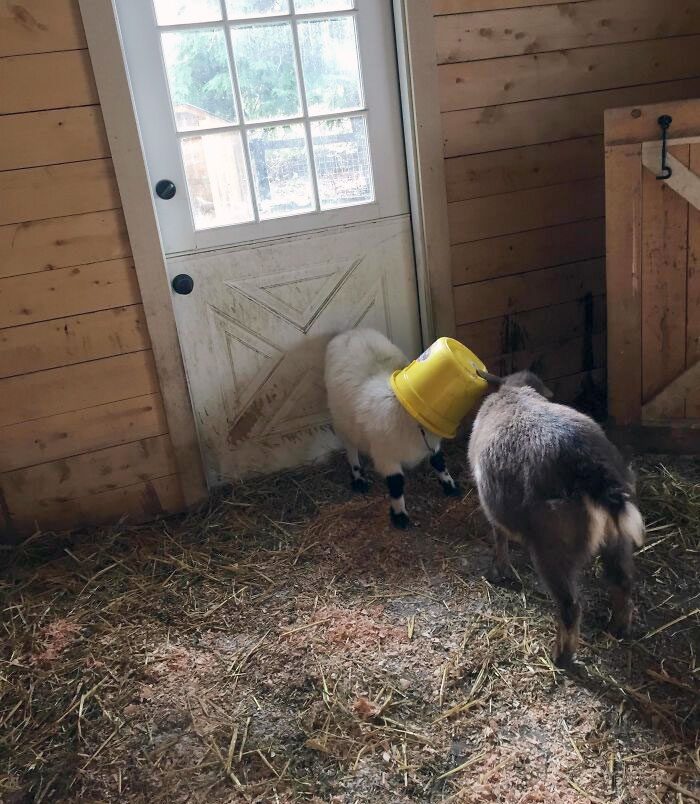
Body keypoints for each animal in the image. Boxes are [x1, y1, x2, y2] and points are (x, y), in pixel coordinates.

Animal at [325, 328, 460, 528]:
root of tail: (351, 332)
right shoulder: (386, 458)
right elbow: (396, 484)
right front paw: (399, 516)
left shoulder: (432, 446)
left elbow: (439, 462)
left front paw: (450, 486)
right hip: (341, 420)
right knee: (350, 447)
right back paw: (358, 479)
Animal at [468, 370, 645, 668]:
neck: (513, 391)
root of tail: (592, 469)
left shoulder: (491, 508)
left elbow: (499, 537)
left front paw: (498, 572)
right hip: (617, 536)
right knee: (621, 581)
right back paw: (617, 629)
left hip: (552, 545)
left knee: (570, 606)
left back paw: (561, 657)